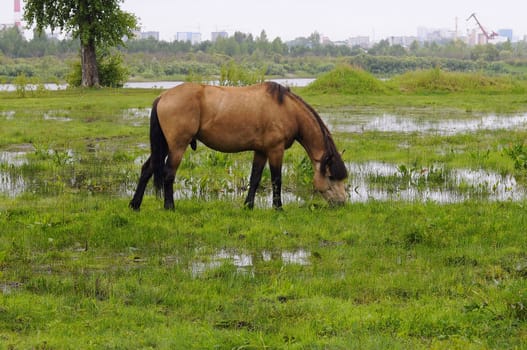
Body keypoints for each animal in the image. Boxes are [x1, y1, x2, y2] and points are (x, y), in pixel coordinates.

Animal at [130, 82, 348, 211]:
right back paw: (169, 206)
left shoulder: (261, 151)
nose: (342, 203)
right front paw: (278, 208)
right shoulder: (275, 150)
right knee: (168, 173)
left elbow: (255, 177)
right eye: (330, 177)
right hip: (176, 146)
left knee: (147, 169)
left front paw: (248, 205)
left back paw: (135, 205)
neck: (286, 109)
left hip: (164, 145)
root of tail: (163, 96)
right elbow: (276, 179)